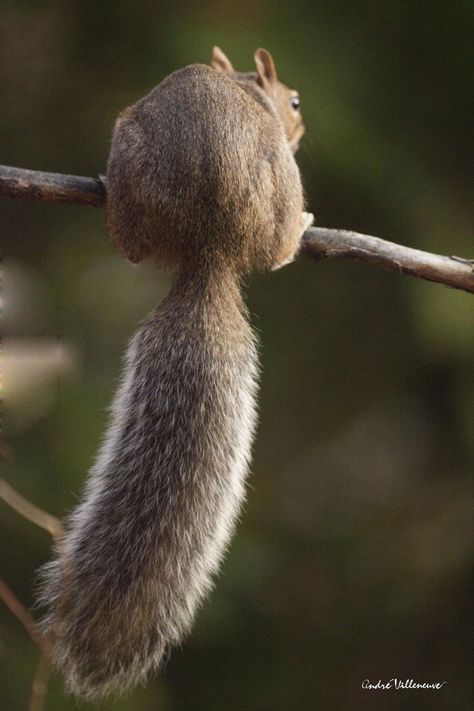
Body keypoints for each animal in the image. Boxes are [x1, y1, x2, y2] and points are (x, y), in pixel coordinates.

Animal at [39, 47, 312, 700]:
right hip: (263, 180)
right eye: (293, 102)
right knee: (275, 249)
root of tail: (209, 244)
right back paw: (303, 226)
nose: (301, 129)